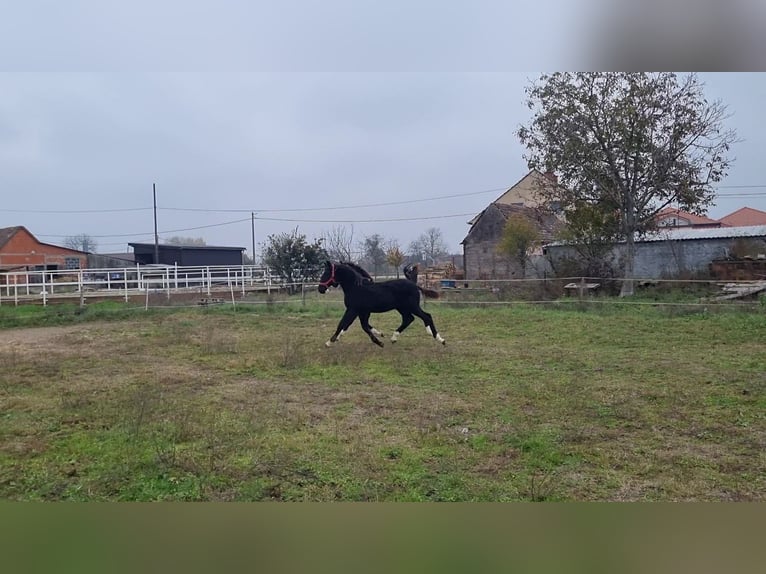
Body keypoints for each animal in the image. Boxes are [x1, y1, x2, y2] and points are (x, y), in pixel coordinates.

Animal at [316, 264, 448, 348]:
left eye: (326, 273)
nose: (321, 289)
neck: (356, 287)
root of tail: (414, 284)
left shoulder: (353, 310)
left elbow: (344, 324)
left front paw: (329, 342)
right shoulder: (361, 311)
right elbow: (360, 326)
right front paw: (379, 338)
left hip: (412, 306)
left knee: (426, 316)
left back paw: (439, 339)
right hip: (402, 308)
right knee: (409, 319)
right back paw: (394, 338)